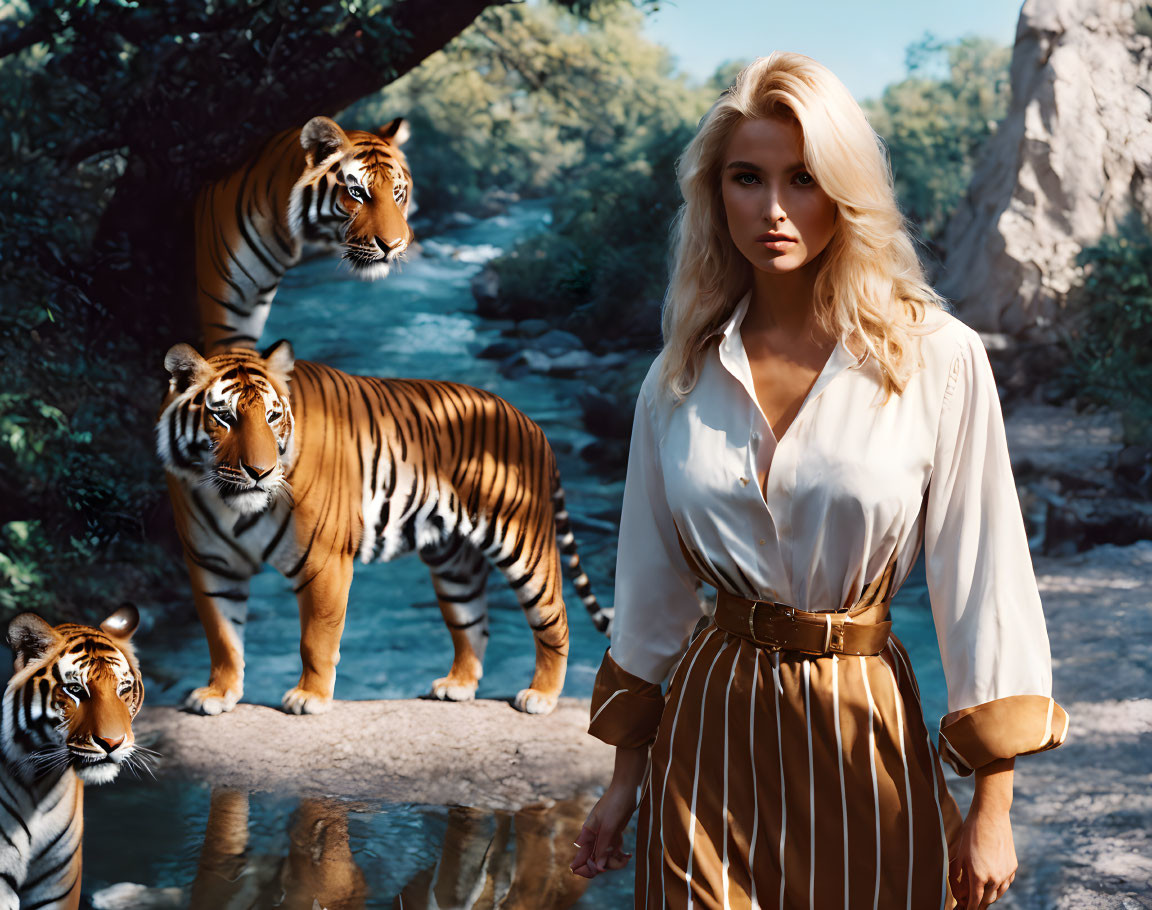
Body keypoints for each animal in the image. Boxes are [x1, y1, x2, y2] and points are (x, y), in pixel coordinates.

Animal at [157, 340, 617, 718]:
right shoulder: (211, 564)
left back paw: (542, 696)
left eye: (272, 417)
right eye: (223, 416)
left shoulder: (323, 559)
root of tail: (532, 424)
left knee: (555, 617)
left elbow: (316, 637)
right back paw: (457, 686)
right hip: (455, 563)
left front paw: (310, 697)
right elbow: (222, 636)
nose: (261, 472)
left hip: (523, 541)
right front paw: (218, 694)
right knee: (472, 623)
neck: (231, 503)